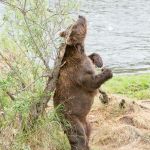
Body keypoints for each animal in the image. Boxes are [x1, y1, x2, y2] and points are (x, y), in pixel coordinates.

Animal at [53, 15, 112, 149]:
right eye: (75, 25)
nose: (80, 16)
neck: (78, 50)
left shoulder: (84, 59)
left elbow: (91, 56)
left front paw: (99, 61)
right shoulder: (78, 73)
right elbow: (91, 82)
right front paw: (107, 71)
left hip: (86, 121)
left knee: (88, 131)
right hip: (71, 117)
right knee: (78, 137)